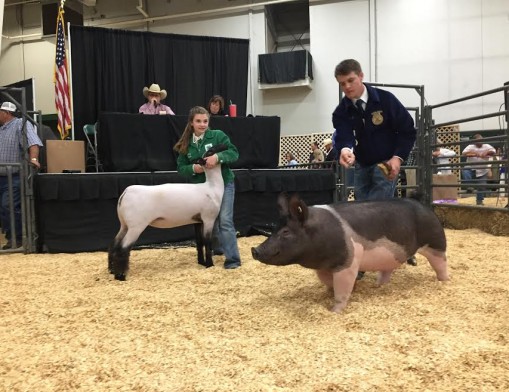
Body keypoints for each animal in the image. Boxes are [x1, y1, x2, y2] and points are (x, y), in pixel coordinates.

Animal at [250, 191, 448, 314]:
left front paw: (334, 311)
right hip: (391, 256)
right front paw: (332, 292)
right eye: (274, 228)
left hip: (436, 241)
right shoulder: (324, 267)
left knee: (441, 263)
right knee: (387, 270)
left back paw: (444, 282)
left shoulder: (348, 261)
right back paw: (378, 286)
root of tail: (419, 202)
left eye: (286, 232)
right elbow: (328, 282)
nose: (255, 249)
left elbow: (342, 288)